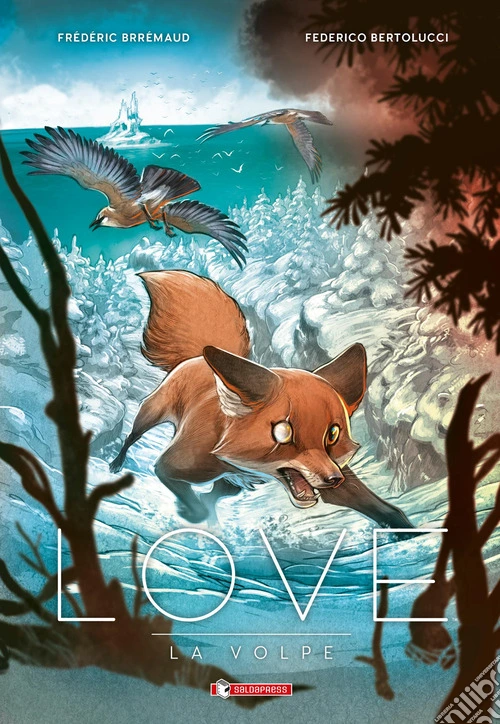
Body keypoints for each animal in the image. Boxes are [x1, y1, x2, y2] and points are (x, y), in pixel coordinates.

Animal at [109, 270, 413, 529]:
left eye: (333, 435)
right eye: (283, 433)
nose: (333, 479)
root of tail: (197, 357)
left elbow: (388, 511)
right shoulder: (171, 467)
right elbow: (187, 497)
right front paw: (192, 514)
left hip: (235, 485)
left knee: (216, 493)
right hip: (152, 412)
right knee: (133, 434)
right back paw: (116, 463)